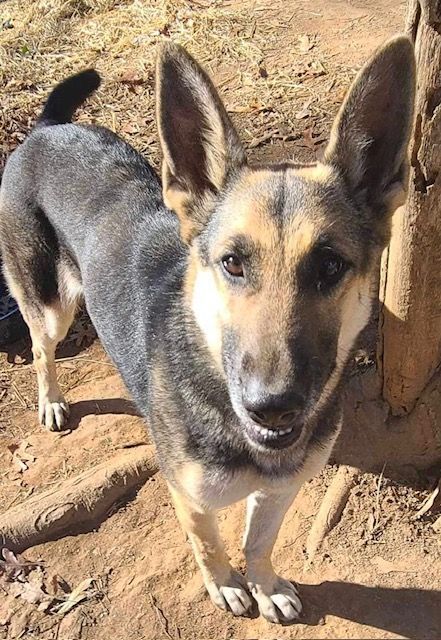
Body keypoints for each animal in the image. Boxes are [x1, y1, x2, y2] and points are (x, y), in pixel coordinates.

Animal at [0, 37, 412, 624]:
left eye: (330, 266)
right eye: (232, 263)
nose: (272, 408)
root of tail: (45, 130)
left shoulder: (281, 489)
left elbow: (259, 542)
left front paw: (264, 584)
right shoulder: (190, 496)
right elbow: (209, 543)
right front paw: (225, 585)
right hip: (52, 306)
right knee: (40, 349)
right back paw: (52, 401)